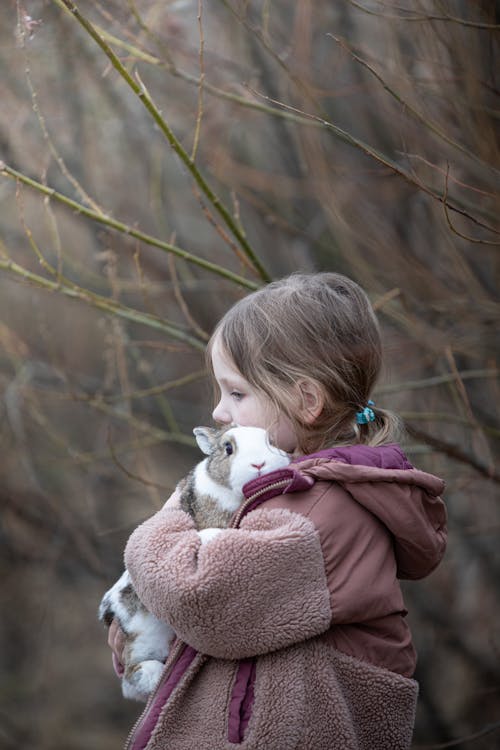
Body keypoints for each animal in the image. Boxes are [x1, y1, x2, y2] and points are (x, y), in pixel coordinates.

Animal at [99, 425, 290, 701]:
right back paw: (154, 675)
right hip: (143, 633)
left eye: (271, 441)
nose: (258, 464)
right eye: (228, 448)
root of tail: (109, 610)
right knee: (131, 676)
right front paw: (213, 536)